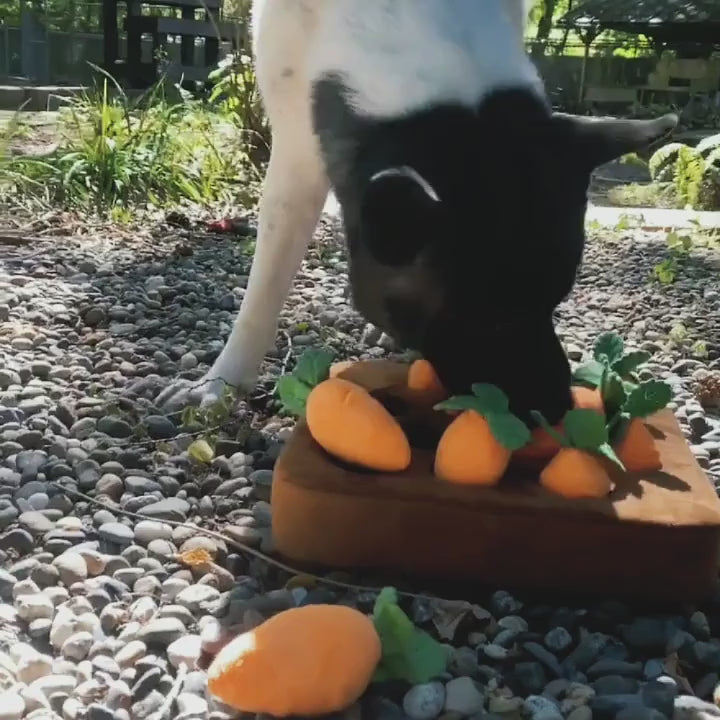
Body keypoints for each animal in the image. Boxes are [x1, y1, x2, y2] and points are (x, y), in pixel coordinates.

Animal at [158, 0, 676, 424]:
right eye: (483, 317)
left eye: (556, 299)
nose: (556, 411)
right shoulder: (296, 142)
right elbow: (264, 286)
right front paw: (219, 386)